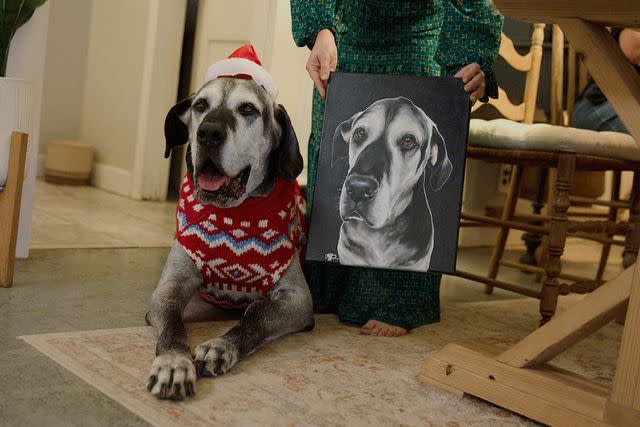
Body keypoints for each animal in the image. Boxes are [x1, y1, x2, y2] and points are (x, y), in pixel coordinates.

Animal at [146, 77, 316, 402]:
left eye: (248, 109)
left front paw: (221, 346)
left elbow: (257, 313)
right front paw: (174, 362)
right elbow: (173, 321)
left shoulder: (299, 299)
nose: (209, 133)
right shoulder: (169, 288)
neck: (235, 218)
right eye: (200, 105)